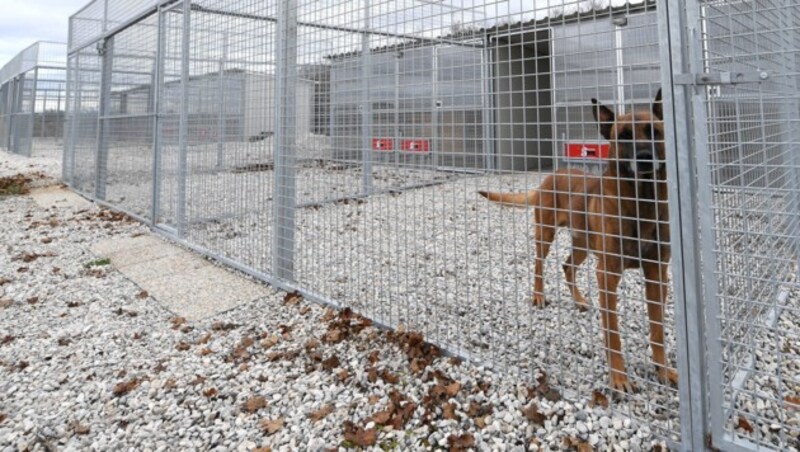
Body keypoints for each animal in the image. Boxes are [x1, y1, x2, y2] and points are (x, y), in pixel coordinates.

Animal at [478, 90, 680, 390]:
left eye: (654, 132)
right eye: (624, 136)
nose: (644, 158)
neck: (640, 203)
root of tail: (551, 176)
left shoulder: (657, 273)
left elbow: (657, 330)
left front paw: (663, 370)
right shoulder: (607, 274)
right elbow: (613, 332)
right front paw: (618, 376)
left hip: (584, 243)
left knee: (567, 266)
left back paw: (580, 300)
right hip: (546, 234)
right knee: (539, 264)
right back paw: (539, 295)